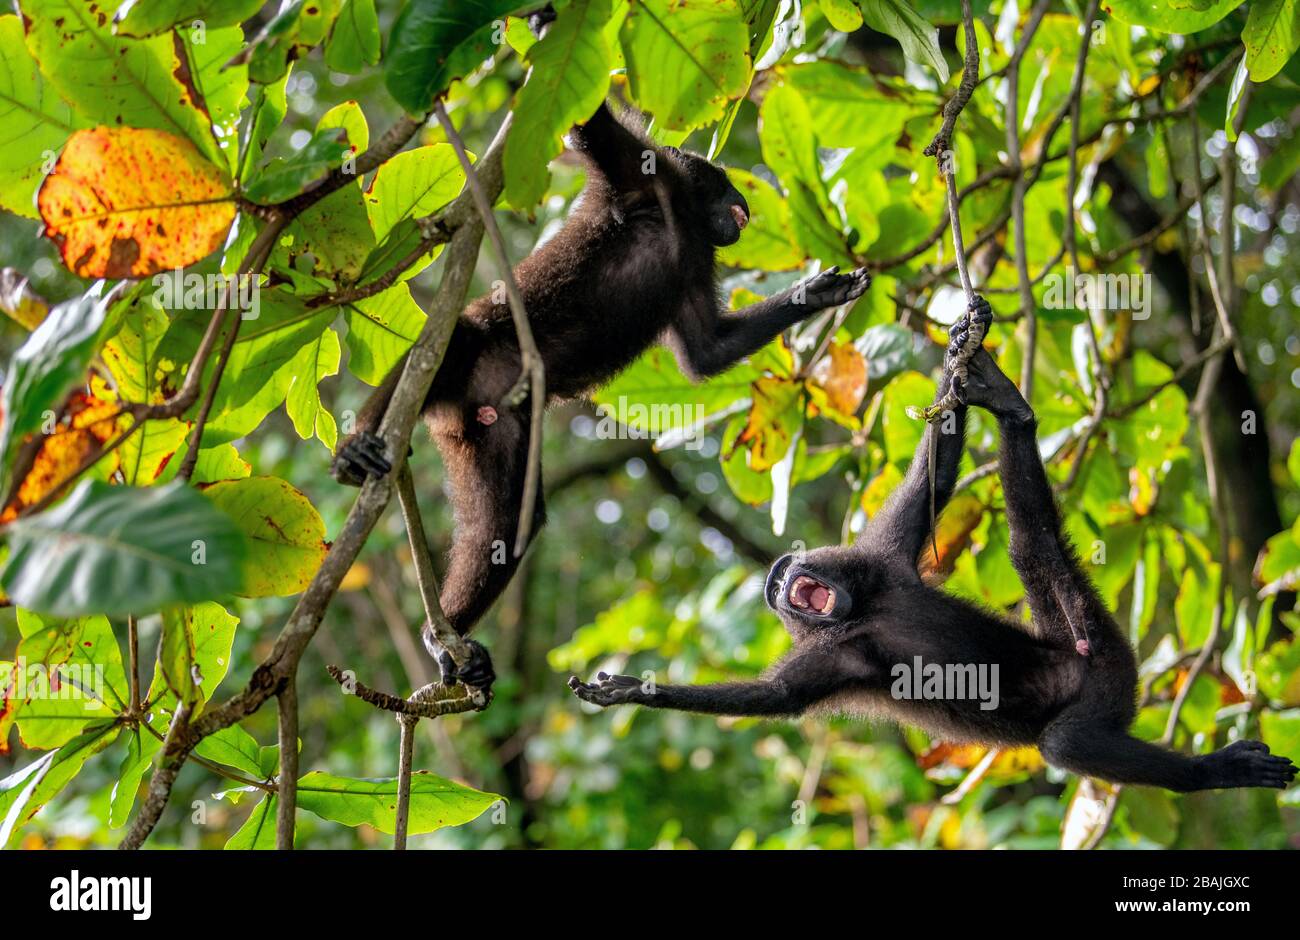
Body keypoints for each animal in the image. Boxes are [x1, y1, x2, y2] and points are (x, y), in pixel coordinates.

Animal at [332, 101, 872, 691]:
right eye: (726, 179)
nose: (746, 197)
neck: (681, 217)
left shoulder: (696, 258)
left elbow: (707, 352)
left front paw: (816, 294)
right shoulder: (645, 176)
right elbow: (589, 126)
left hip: (496, 425)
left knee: (507, 524)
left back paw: (445, 640)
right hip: (472, 362)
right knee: (458, 340)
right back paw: (358, 448)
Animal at [570, 297, 1298, 793]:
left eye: (784, 579)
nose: (781, 584)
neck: (863, 608)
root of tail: (1100, 665)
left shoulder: (883, 556)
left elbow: (935, 480)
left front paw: (960, 358)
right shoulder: (838, 656)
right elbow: (775, 699)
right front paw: (637, 692)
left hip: (1102, 657)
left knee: (1037, 565)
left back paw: (1005, 403)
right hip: (1104, 671)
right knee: (1061, 695)